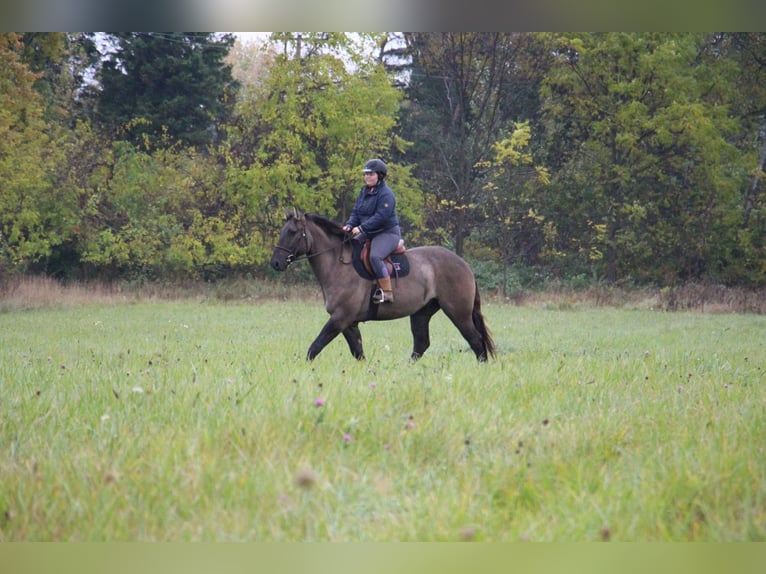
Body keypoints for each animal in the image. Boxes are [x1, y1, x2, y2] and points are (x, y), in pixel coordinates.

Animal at [270, 212, 498, 362]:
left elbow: (314, 348)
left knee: (476, 340)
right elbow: (358, 352)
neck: (339, 265)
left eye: (292, 232)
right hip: (421, 313)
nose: (276, 263)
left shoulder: (340, 318)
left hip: (458, 312)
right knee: (421, 343)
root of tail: (464, 264)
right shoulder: (348, 323)